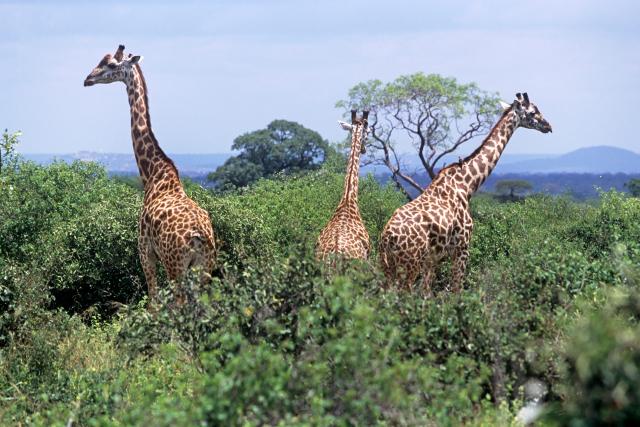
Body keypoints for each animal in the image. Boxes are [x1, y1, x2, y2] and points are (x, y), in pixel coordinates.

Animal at [84, 45, 216, 303]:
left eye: (111, 64)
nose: (87, 79)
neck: (154, 175)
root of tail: (200, 237)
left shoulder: (145, 250)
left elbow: (153, 300)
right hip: (204, 269)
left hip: (175, 265)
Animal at [379, 93, 552, 293]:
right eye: (532, 112)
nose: (548, 126)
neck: (467, 185)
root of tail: (387, 238)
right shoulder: (462, 246)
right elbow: (456, 289)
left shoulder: (434, 258)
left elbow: (427, 292)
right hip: (409, 264)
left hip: (388, 267)